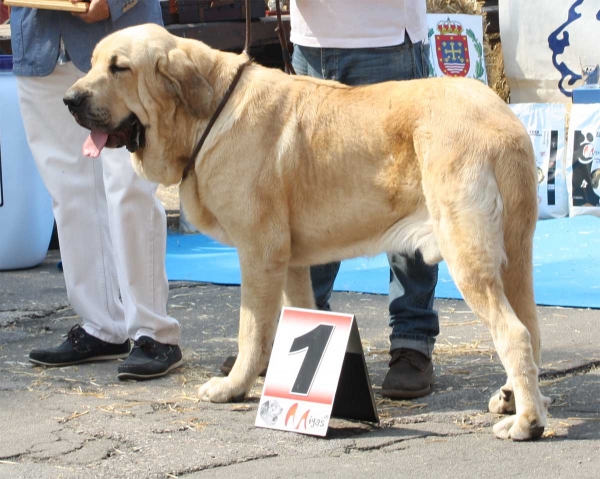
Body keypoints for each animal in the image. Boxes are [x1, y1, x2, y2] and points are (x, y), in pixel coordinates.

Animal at [64, 24, 548, 440]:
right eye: (92, 63)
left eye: (119, 67)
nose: (70, 99)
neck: (209, 111)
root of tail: (502, 122)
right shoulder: (292, 264)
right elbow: (298, 312)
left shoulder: (259, 254)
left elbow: (252, 329)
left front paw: (233, 385)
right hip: (515, 258)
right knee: (530, 327)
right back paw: (516, 398)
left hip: (467, 255)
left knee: (513, 333)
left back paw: (527, 422)